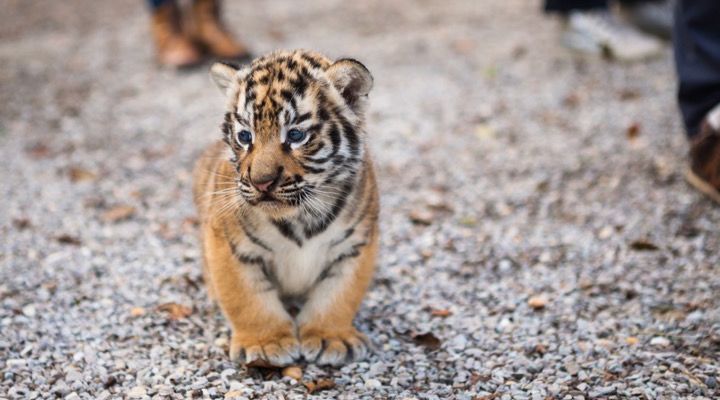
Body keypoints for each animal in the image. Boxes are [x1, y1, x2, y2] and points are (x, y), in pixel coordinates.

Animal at [192, 50, 379, 367]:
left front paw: (331, 337)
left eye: (295, 136)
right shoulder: (229, 246)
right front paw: (266, 343)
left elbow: (338, 295)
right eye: (245, 137)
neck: (301, 216)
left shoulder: (355, 246)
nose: (261, 182)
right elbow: (247, 299)